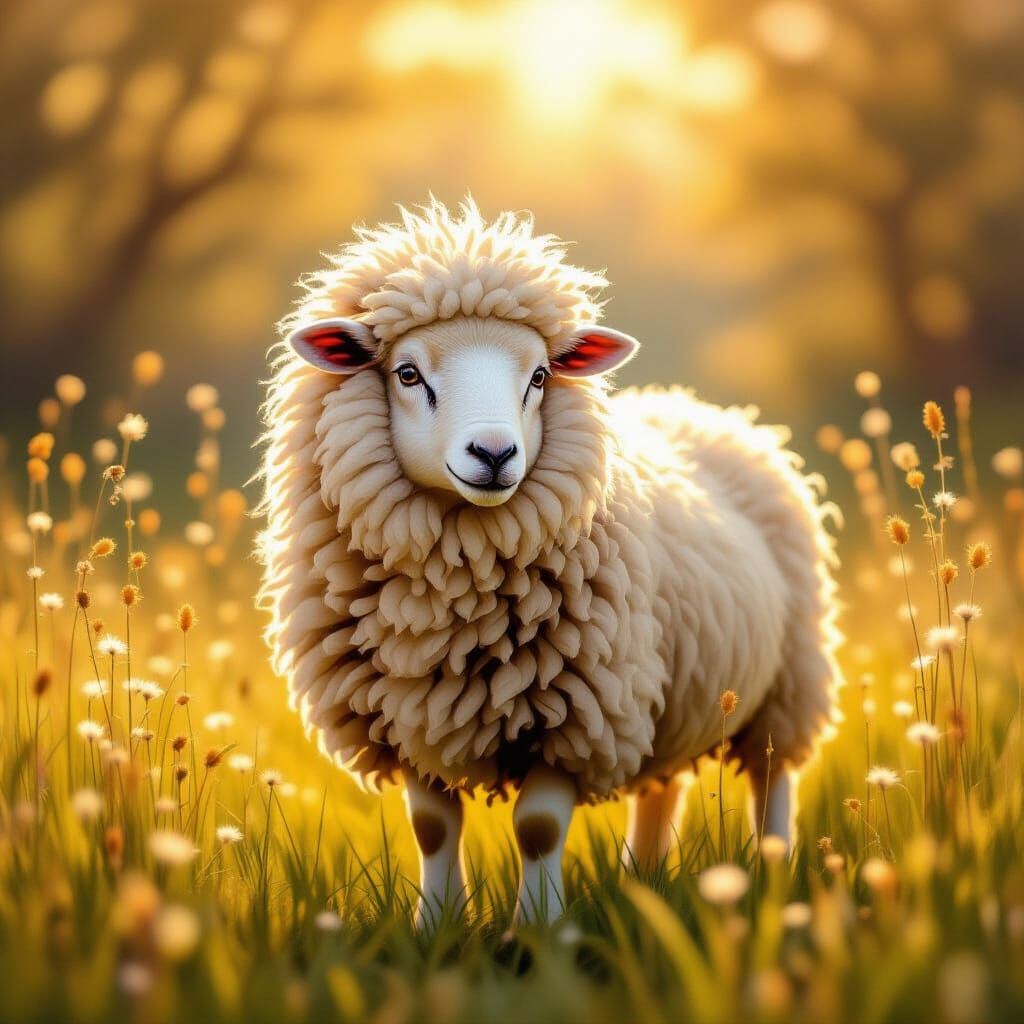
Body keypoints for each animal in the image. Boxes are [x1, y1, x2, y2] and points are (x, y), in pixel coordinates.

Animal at [257, 198, 841, 924]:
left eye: (538, 377)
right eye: (408, 373)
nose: (494, 453)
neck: (449, 598)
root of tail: (697, 407)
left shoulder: (578, 712)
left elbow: (537, 828)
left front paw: (537, 931)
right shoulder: (405, 717)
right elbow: (433, 829)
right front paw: (437, 926)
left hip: (785, 684)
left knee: (771, 779)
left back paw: (773, 878)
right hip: (670, 693)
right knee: (660, 790)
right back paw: (643, 882)